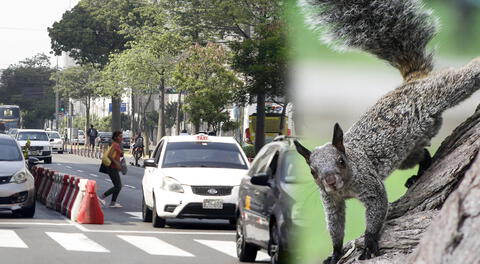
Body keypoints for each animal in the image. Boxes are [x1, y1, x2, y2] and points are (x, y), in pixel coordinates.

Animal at [294, 0, 478, 264]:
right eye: (312, 171)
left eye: (341, 161)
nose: (330, 180)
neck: (345, 186)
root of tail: (412, 81)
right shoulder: (330, 201)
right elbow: (335, 227)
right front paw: (335, 253)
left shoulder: (370, 185)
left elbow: (378, 208)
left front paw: (370, 242)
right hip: (406, 154)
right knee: (423, 154)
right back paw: (418, 174)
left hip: (441, 91)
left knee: (461, 78)